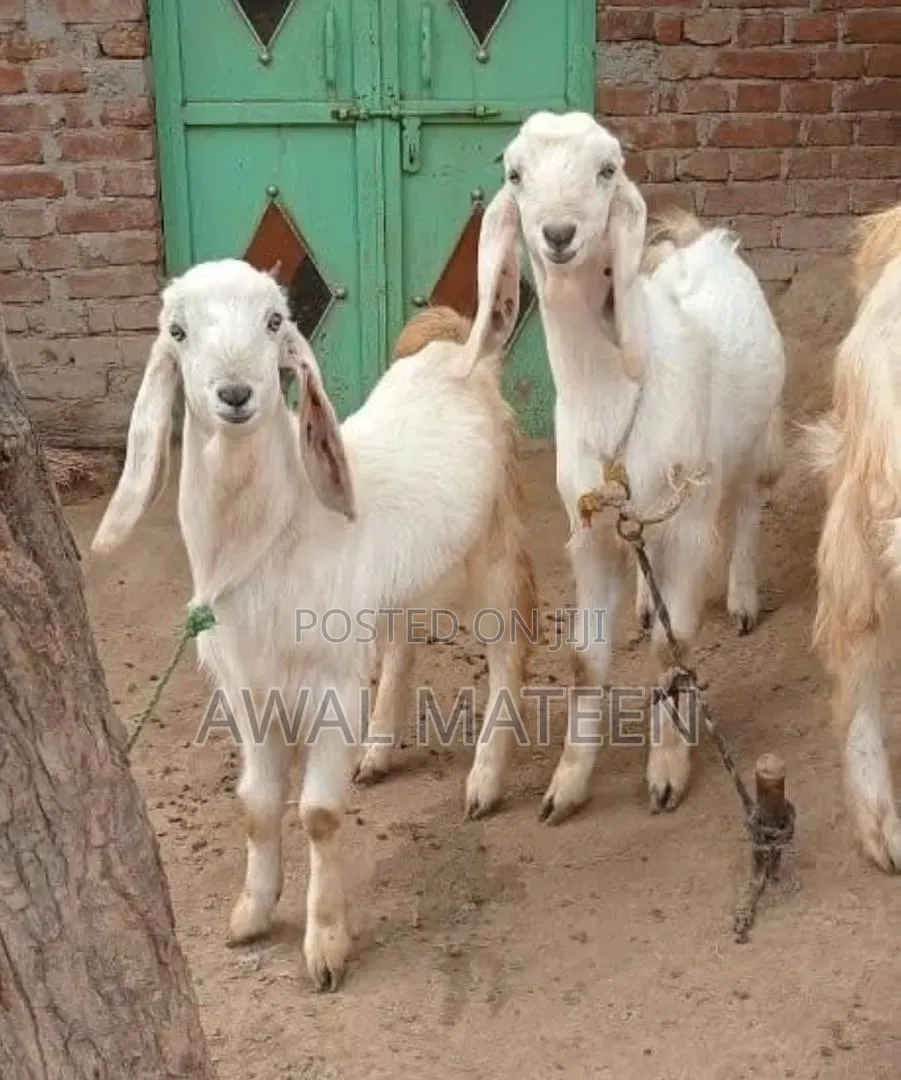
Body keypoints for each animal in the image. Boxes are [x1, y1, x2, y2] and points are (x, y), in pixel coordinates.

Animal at [90, 201, 536, 990]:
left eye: (275, 320)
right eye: (177, 331)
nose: (236, 394)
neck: (277, 539)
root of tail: (457, 353)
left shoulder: (327, 683)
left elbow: (320, 813)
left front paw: (325, 945)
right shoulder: (247, 691)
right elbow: (257, 806)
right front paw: (251, 913)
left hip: (495, 549)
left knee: (508, 652)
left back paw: (484, 780)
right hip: (394, 588)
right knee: (401, 643)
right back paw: (379, 749)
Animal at [481, 109, 786, 823]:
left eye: (607, 168)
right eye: (515, 172)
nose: (558, 234)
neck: (613, 400)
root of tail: (707, 243)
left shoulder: (689, 523)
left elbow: (671, 652)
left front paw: (668, 771)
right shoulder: (589, 530)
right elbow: (584, 662)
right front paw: (566, 786)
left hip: (756, 440)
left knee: (749, 506)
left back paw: (742, 598)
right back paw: (648, 602)